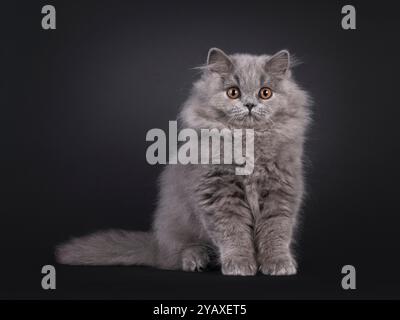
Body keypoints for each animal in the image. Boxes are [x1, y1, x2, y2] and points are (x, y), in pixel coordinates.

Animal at [57, 47, 312, 276]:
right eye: (233, 92)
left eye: (265, 93)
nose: (250, 104)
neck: (247, 142)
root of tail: (157, 246)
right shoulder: (218, 193)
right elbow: (233, 233)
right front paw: (239, 264)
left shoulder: (281, 191)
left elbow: (276, 232)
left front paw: (279, 264)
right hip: (178, 228)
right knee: (181, 252)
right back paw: (196, 260)